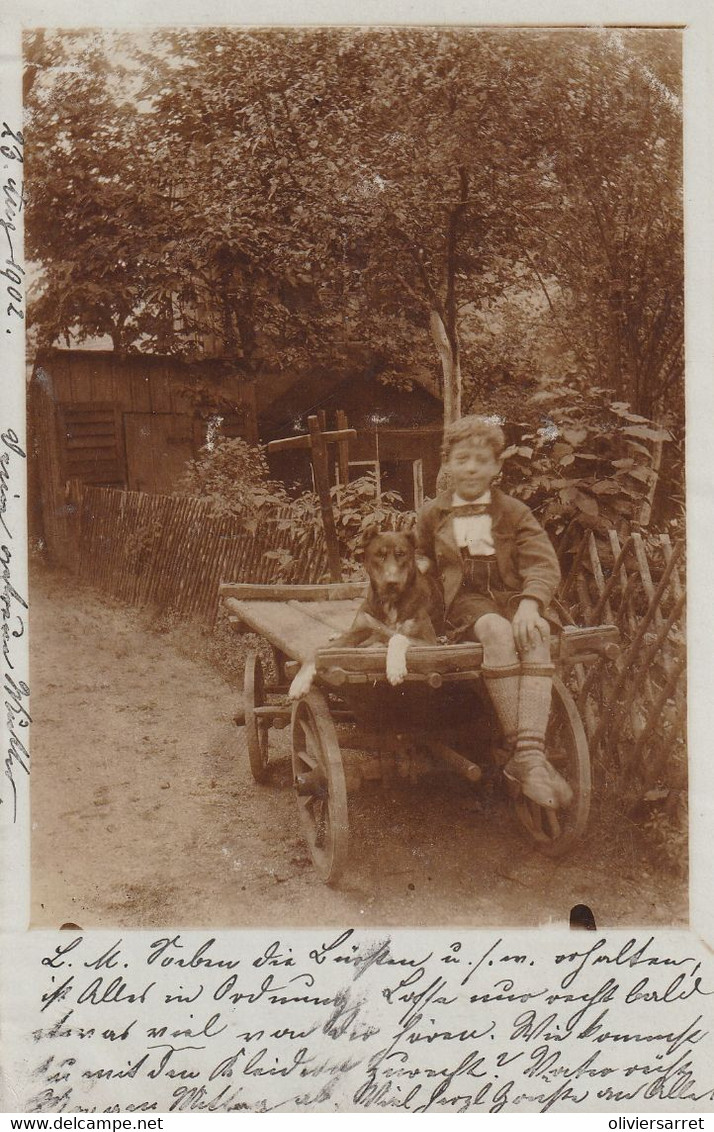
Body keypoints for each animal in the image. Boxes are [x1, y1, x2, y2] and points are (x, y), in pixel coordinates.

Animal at [287, 529, 439, 697]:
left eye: (401, 554)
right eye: (379, 555)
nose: (392, 582)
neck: (390, 602)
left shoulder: (431, 643)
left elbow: (398, 637)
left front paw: (395, 668)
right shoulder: (361, 629)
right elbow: (317, 649)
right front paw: (300, 681)